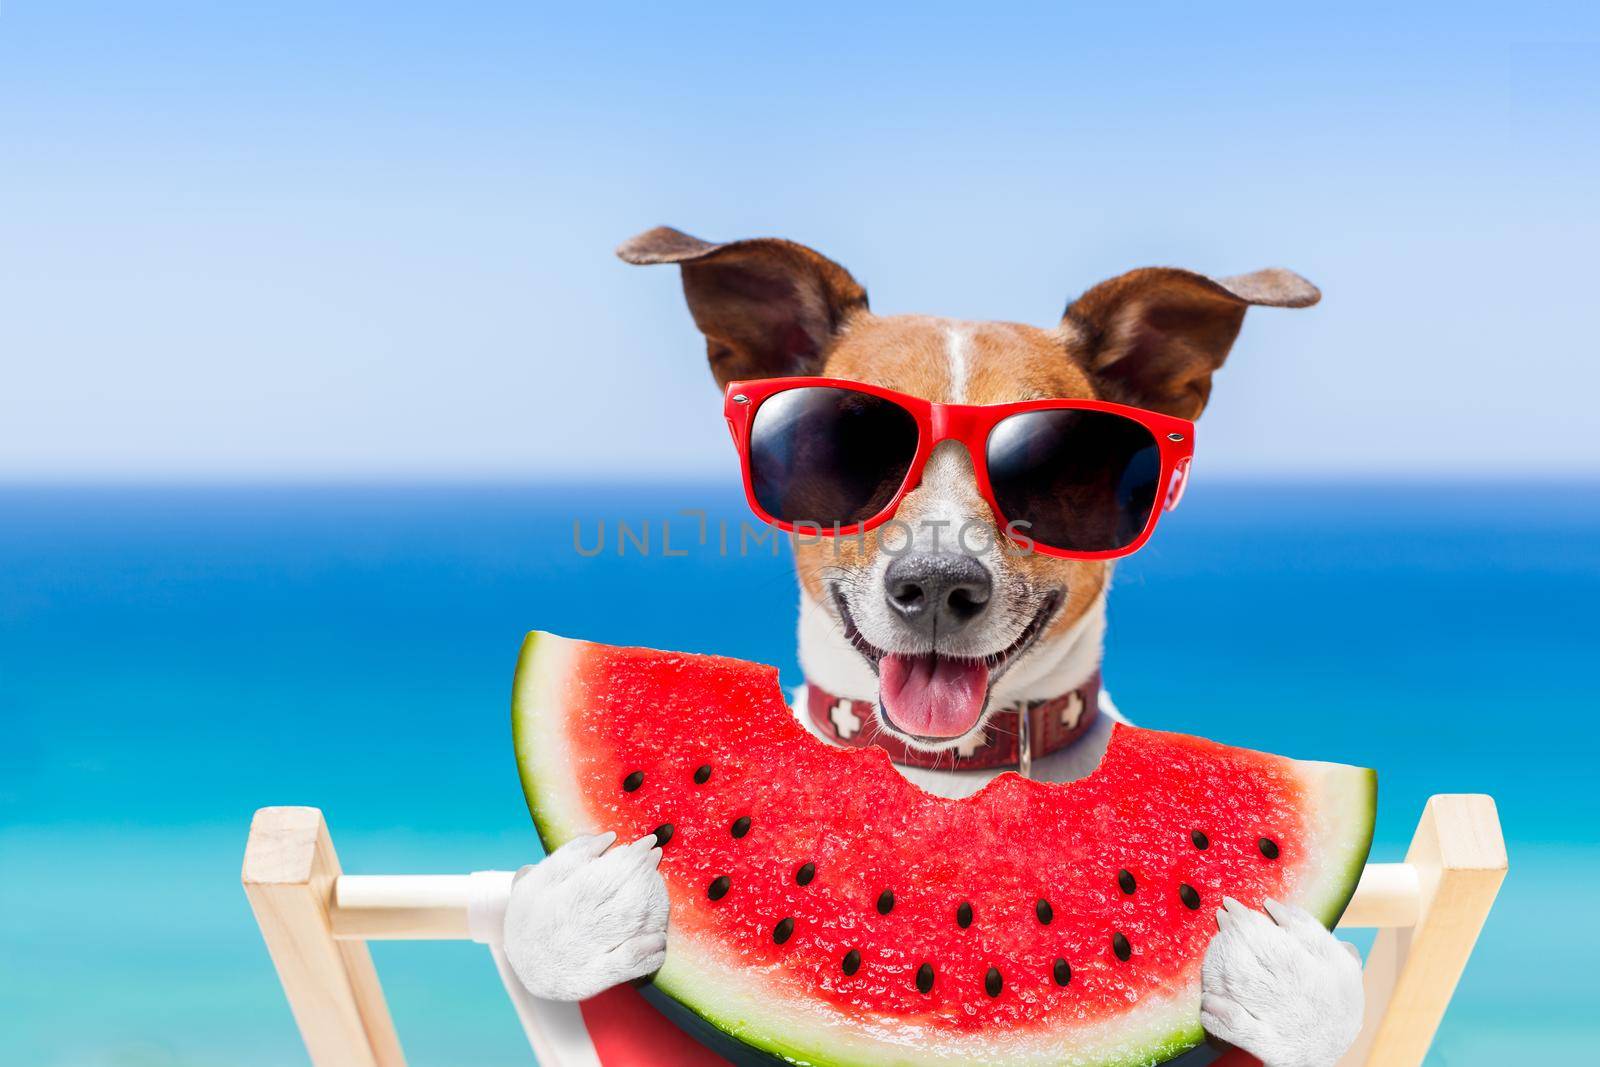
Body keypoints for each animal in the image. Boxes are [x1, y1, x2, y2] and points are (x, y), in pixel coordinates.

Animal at [505, 227, 1369, 1067]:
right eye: (846, 444)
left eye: (1058, 462)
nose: (937, 583)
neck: (945, 768)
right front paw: (581, 908)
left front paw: (1292, 986)